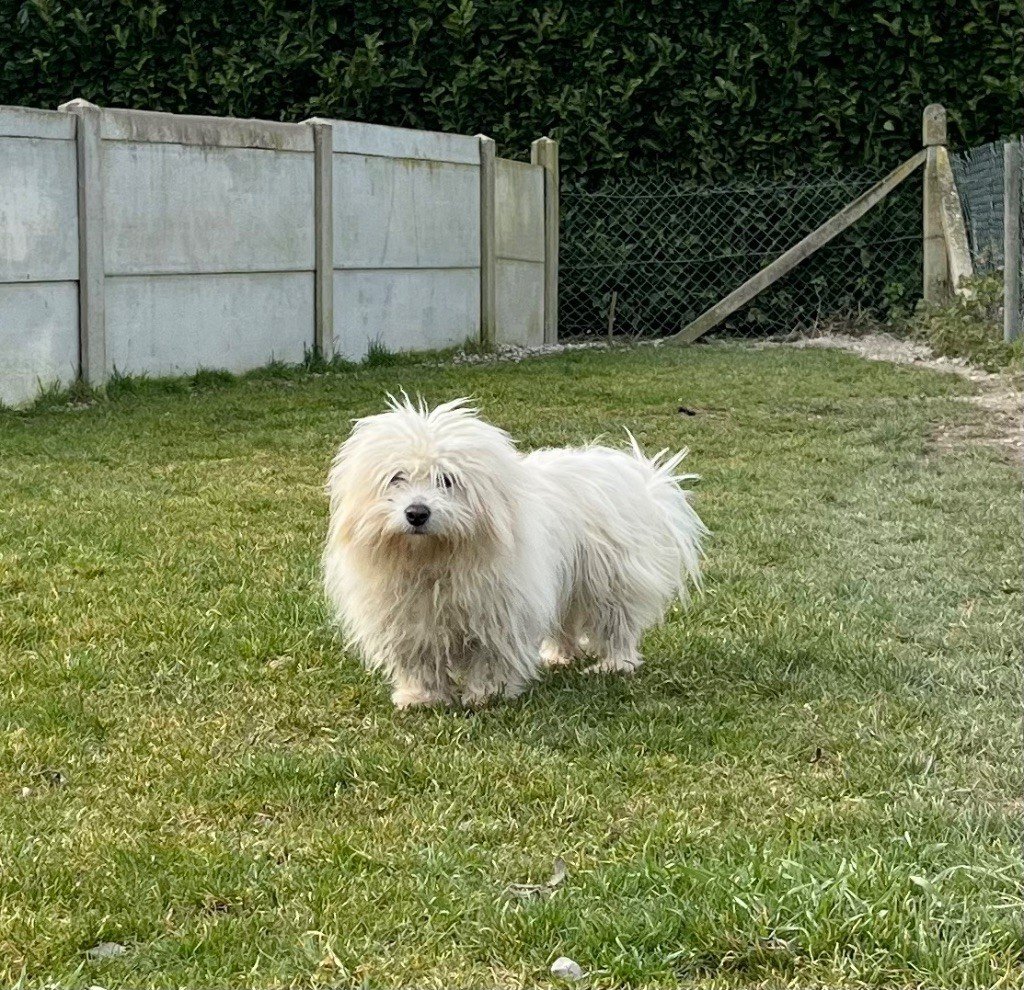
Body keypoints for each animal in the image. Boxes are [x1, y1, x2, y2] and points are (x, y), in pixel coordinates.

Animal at [323, 393, 708, 704]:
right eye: (396, 477)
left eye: (447, 480)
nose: (417, 513)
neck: (434, 558)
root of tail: (640, 480)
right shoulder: (409, 621)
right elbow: (420, 661)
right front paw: (422, 697)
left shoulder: (499, 613)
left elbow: (491, 657)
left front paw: (486, 695)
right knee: (565, 622)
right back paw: (559, 656)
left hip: (608, 581)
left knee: (617, 623)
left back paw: (614, 664)